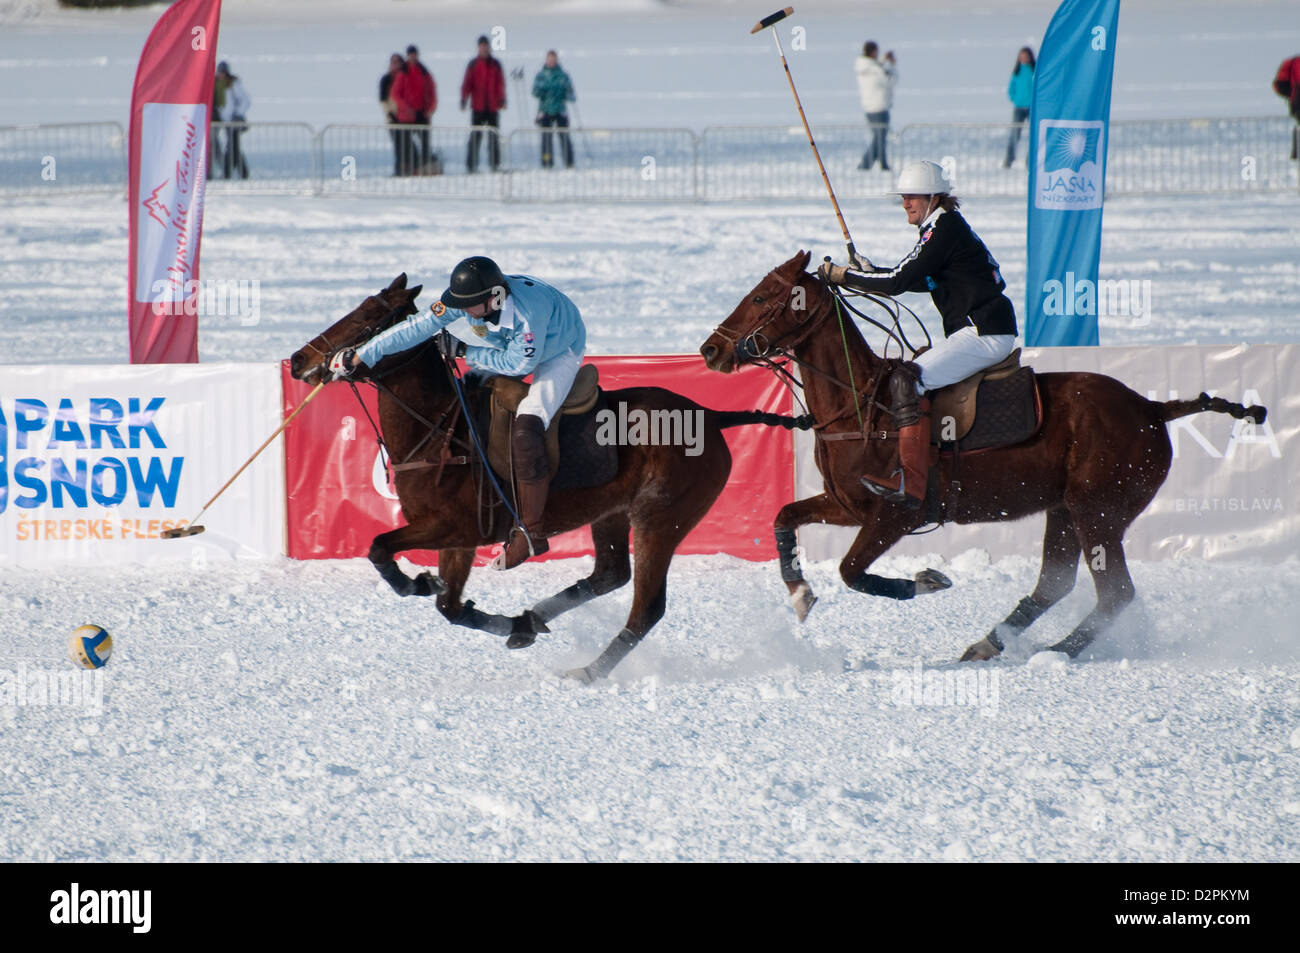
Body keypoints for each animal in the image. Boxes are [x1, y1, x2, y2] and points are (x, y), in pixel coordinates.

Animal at [289, 271, 806, 681]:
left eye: (368, 320)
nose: (298, 361)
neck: (439, 428)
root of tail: (712, 416)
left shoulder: (455, 526)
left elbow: (380, 549)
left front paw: (413, 582)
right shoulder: (457, 538)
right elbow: (449, 606)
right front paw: (499, 617)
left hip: (661, 518)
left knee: (645, 608)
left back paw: (587, 672)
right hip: (611, 512)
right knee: (609, 574)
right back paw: (534, 620)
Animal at [702, 249, 1268, 657]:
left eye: (761, 298)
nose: (711, 350)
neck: (858, 403)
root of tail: (1152, 408)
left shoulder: (894, 514)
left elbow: (851, 571)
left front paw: (928, 581)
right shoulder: (847, 505)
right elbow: (784, 517)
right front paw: (800, 595)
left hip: (1099, 510)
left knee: (1115, 594)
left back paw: (1056, 653)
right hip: (1066, 509)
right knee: (1056, 585)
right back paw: (989, 644)